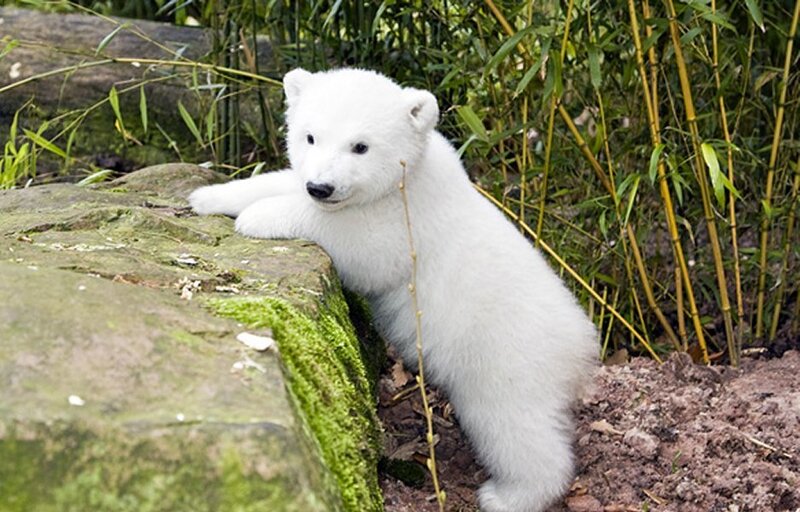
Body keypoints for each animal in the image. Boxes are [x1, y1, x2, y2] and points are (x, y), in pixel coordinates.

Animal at [189, 68, 598, 512]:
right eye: (310, 136)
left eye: (360, 146)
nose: (321, 187)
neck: (409, 175)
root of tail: (582, 346)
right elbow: (278, 180)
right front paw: (209, 194)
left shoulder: (407, 222)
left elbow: (361, 243)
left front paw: (259, 216)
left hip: (507, 358)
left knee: (513, 426)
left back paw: (507, 495)